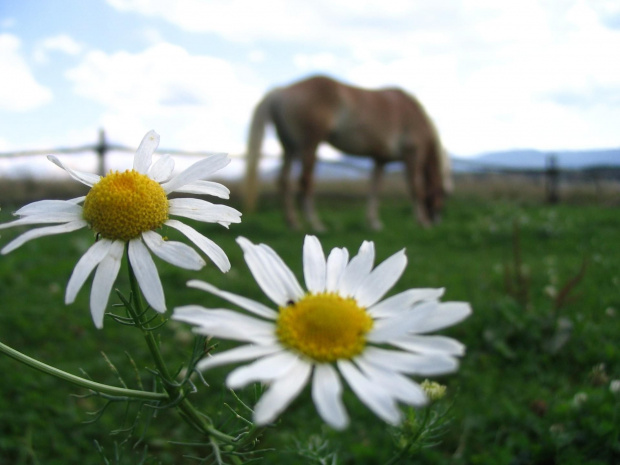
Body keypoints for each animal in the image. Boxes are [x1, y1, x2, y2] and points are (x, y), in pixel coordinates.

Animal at [245, 75, 452, 232]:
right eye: (441, 194)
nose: (437, 221)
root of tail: (281, 91)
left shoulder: (380, 159)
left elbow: (375, 189)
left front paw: (374, 223)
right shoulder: (413, 154)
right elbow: (416, 188)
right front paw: (422, 221)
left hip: (290, 148)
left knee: (283, 181)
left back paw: (293, 223)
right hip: (309, 145)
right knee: (305, 182)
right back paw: (316, 224)